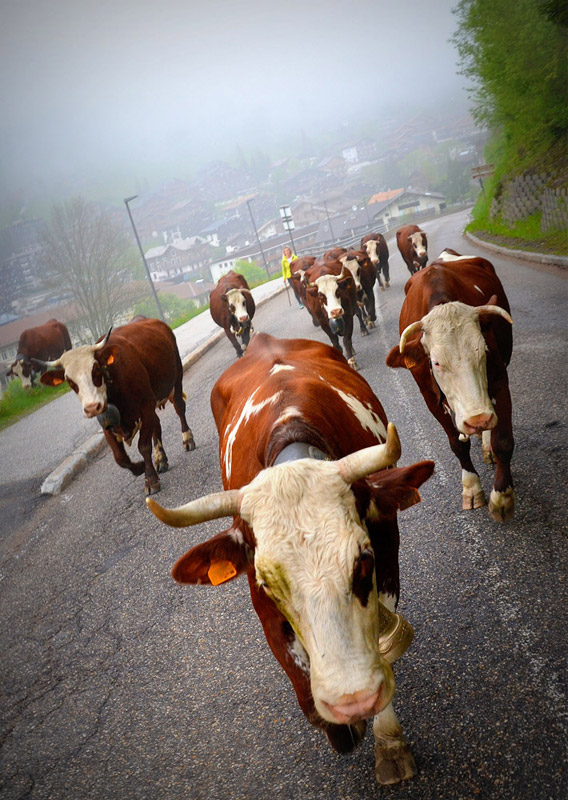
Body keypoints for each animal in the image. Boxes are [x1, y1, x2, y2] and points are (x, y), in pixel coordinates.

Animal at [38, 318, 195, 494]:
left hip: (176, 379)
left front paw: (150, 480)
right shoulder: (105, 420)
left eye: (96, 369)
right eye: (69, 380)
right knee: (157, 425)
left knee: (180, 408)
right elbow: (120, 458)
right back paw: (160, 458)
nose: (92, 407)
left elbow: (143, 446)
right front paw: (140, 467)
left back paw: (187, 439)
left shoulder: (146, 408)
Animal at [146, 332, 434, 788]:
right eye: (267, 583)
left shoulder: (388, 561)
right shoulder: (262, 603)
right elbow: (306, 691)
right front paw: (341, 722)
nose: (351, 700)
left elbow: (380, 650)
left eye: (364, 560)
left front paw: (388, 743)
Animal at [386, 253, 516, 520]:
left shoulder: (499, 381)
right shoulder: (430, 398)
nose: (477, 420)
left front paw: (502, 497)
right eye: (436, 362)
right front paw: (472, 488)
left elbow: (503, 440)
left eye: (483, 351)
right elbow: (457, 443)